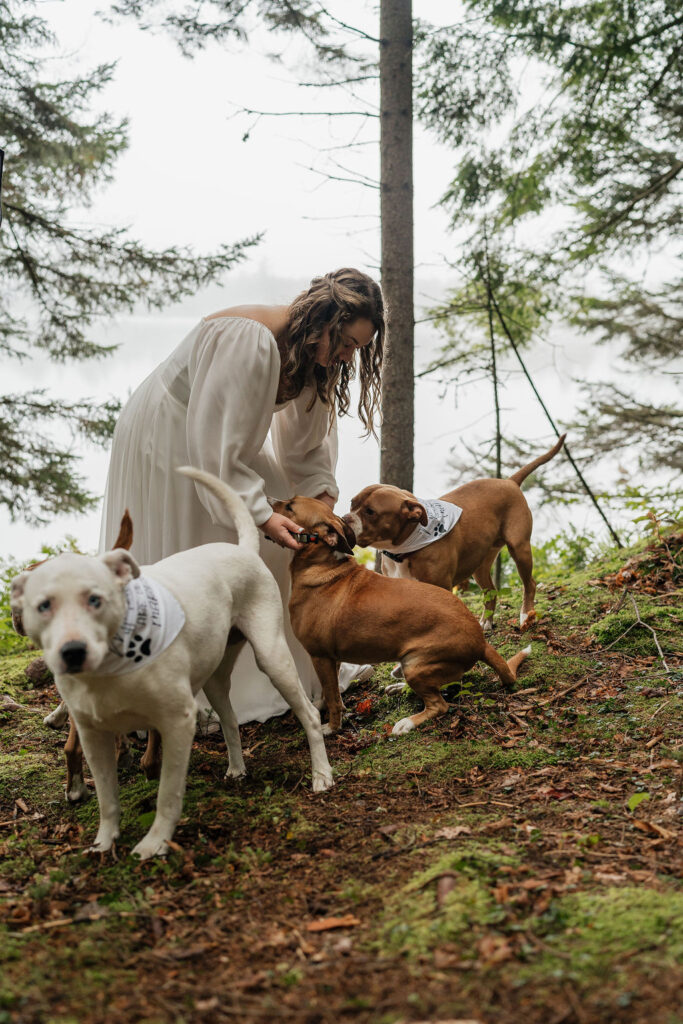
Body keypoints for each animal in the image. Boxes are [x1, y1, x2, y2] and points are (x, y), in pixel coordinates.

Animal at [9, 468, 331, 860]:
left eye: (96, 599)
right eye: (43, 605)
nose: (72, 651)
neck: (111, 667)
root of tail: (242, 548)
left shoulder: (177, 724)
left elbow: (166, 791)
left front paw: (155, 842)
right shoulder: (92, 734)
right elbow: (106, 796)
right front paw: (104, 841)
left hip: (272, 657)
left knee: (309, 715)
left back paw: (322, 776)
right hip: (215, 676)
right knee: (230, 720)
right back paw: (237, 768)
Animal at [270, 495, 532, 737]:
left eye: (290, 506)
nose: (268, 501)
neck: (323, 566)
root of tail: (480, 640)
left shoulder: (320, 656)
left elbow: (334, 699)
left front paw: (331, 727)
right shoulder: (330, 660)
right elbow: (329, 692)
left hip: (415, 664)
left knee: (440, 705)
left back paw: (407, 723)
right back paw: (398, 687)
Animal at [348, 436, 565, 634]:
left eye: (370, 512)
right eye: (352, 503)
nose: (345, 519)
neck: (405, 548)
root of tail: (509, 482)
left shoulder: (441, 588)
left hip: (519, 548)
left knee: (530, 584)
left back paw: (525, 615)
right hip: (480, 563)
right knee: (491, 591)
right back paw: (486, 622)